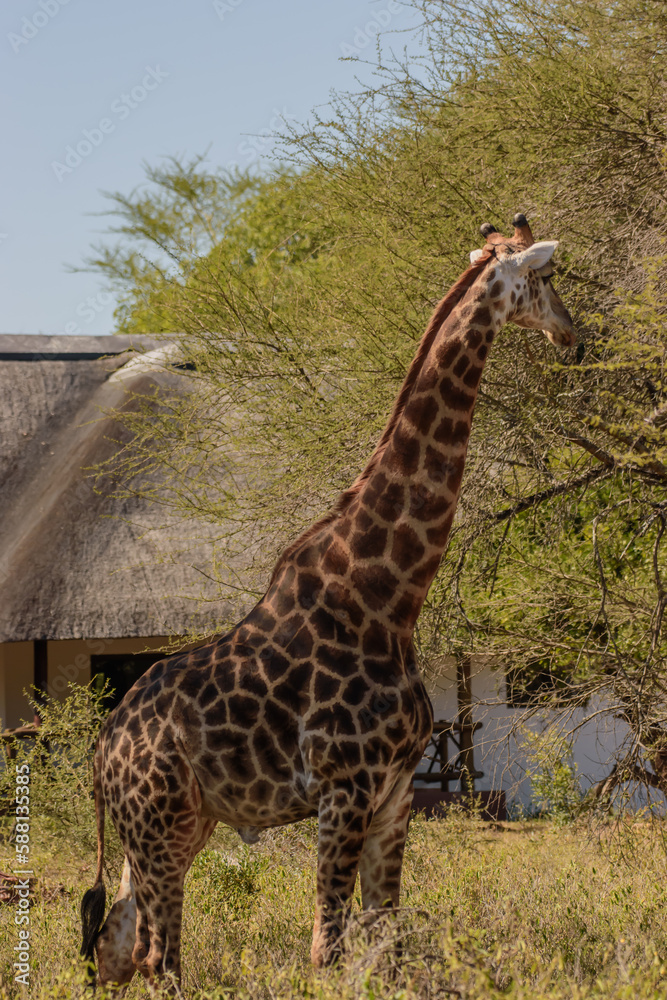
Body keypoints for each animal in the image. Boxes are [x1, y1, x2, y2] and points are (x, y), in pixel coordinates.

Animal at [80, 212, 575, 989]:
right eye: (548, 277)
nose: (575, 337)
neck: (389, 596)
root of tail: (102, 750)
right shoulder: (345, 788)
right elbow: (329, 951)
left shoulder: (395, 795)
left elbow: (387, 943)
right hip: (160, 827)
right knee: (160, 959)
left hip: (177, 827)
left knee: (118, 946)